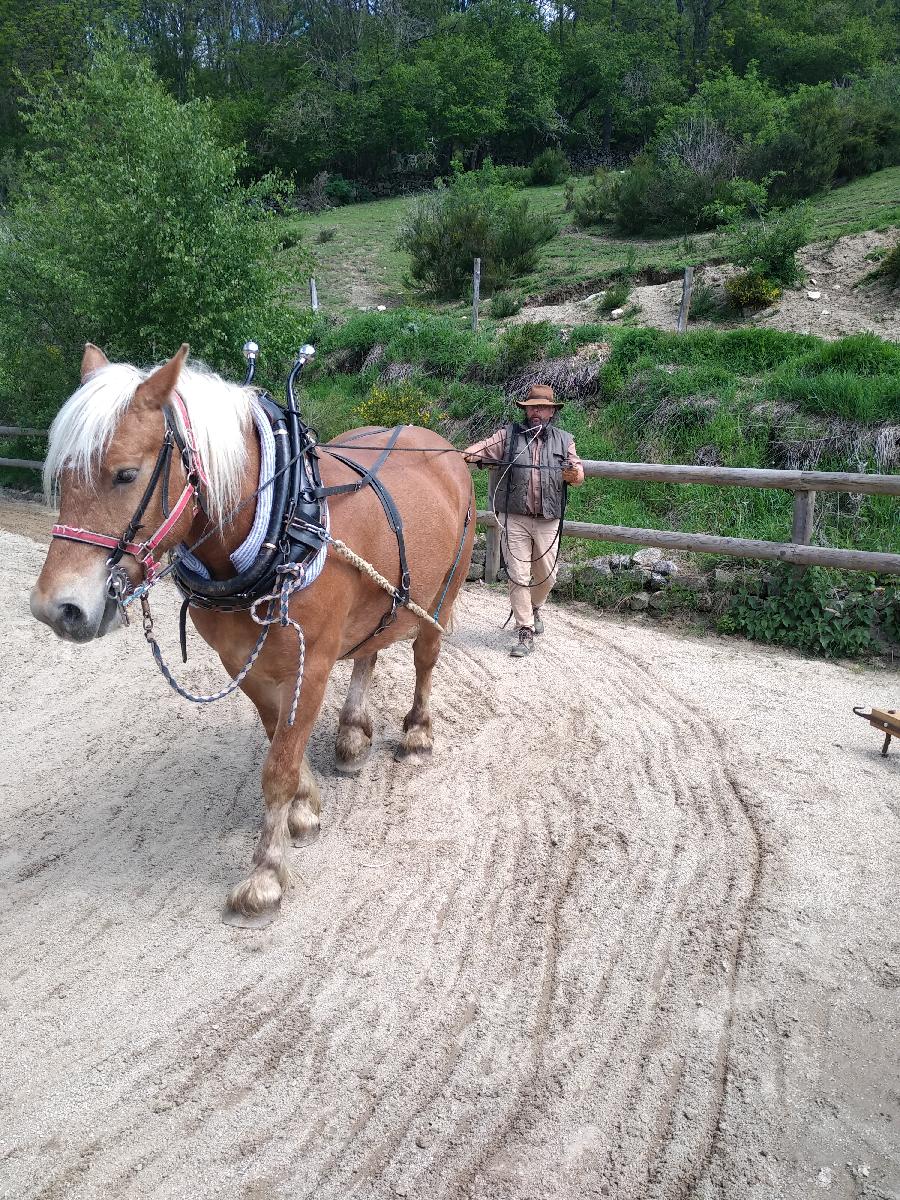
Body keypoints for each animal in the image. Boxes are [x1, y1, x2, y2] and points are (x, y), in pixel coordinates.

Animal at [30, 348, 475, 926]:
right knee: (370, 653)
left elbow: (278, 767)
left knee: (425, 655)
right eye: (62, 476)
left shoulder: (312, 663)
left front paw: (265, 875)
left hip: (444, 591)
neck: (282, 526)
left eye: (125, 475)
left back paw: (418, 732)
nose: (56, 609)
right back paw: (353, 733)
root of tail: (440, 446)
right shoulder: (243, 662)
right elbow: (275, 739)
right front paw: (305, 809)